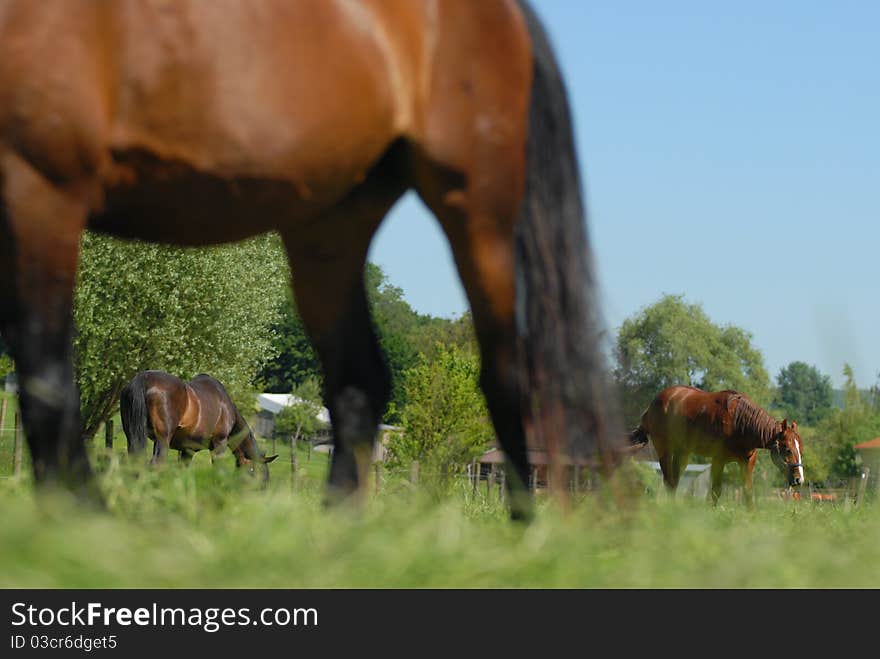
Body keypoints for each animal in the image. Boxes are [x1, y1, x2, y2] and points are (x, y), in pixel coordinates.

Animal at [624, 386, 804, 506]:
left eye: (800, 449)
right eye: (788, 449)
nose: (799, 479)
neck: (740, 422)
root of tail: (653, 404)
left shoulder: (747, 461)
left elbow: (748, 491)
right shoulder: (719, 460)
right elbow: (716, 491)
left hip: (683, 453)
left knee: (674, 483)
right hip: (665, 451)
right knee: (669, 482)